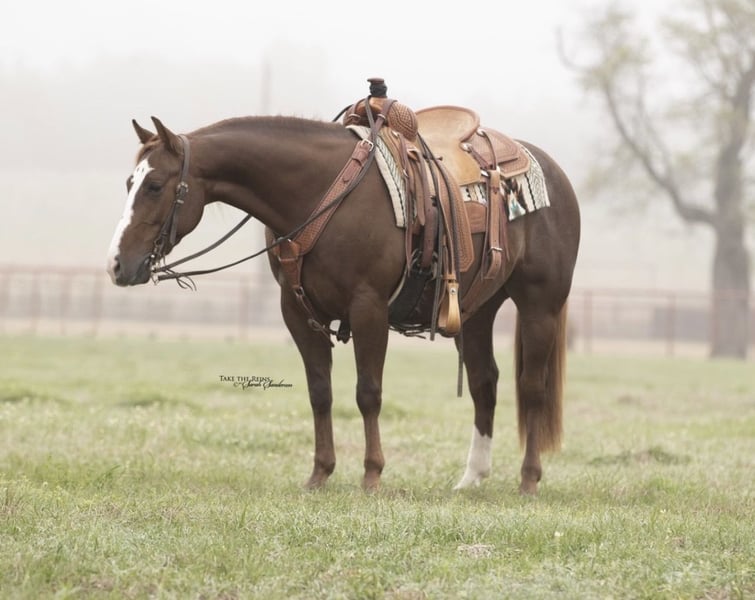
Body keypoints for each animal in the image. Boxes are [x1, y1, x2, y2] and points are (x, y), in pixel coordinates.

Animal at [105, 98, 580, 495]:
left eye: (154, 186)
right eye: (129, 182)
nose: (116, 264)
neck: (320, 193)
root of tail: (553, 172)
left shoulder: (368, 307)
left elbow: (367, 391)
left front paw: (371, 474)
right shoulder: (296, 310)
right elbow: (320, 392)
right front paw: (320, 473)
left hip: (540, 306)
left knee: (531, 387)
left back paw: (528, 480)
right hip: (476, 310)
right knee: (485, 384)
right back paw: (471, 478)